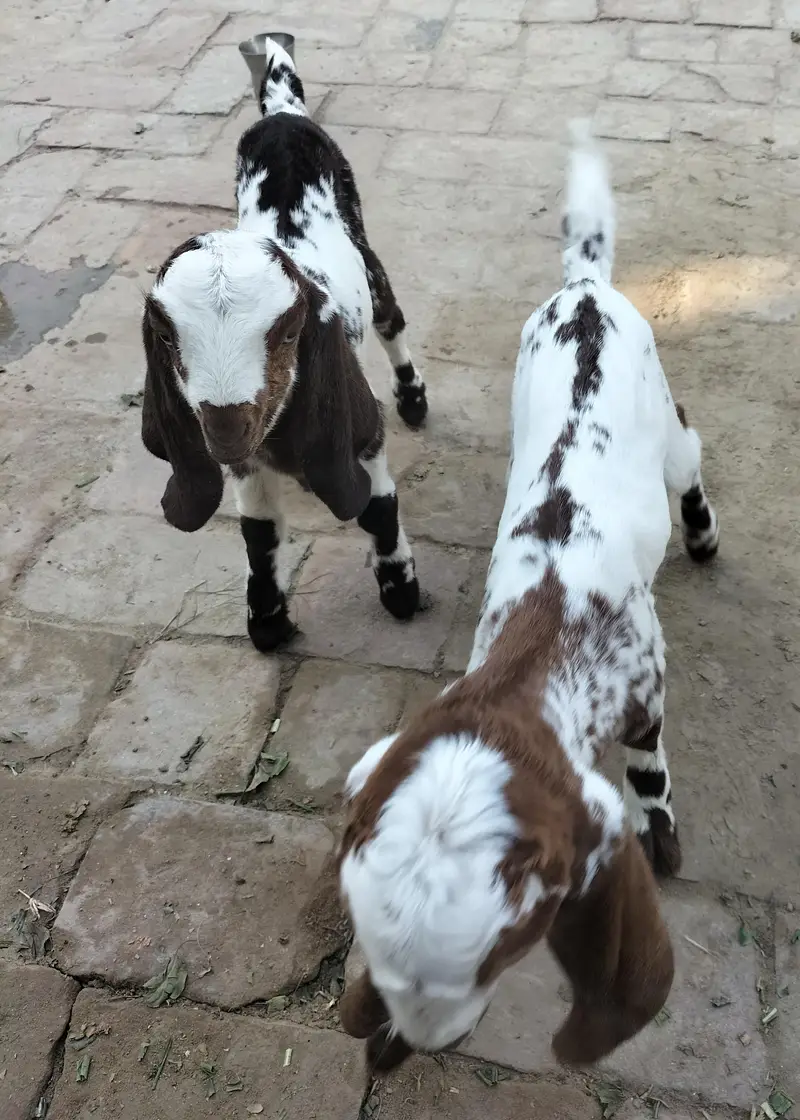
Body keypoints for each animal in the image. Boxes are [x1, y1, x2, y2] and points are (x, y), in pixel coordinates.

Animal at [141, 39, 428, 651]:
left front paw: (400, 590)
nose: (226, 427)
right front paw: (268, 620)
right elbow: (258, 532)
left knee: (392, 321)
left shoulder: (361, 433)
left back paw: (414, 398)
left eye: (291, 331)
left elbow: (376, 508)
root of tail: (282, 117)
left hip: (366, 253)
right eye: (166, 335)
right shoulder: (249, 470)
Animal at [336, 123, 720, 1074]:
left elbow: (650, 773)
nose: (419, 1039)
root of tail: (583, 289)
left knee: (689, 452)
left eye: (509, 947)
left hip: (662, 416)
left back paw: (702, 536)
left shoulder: (644, 687)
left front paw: (664, 844)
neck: (548, 630)